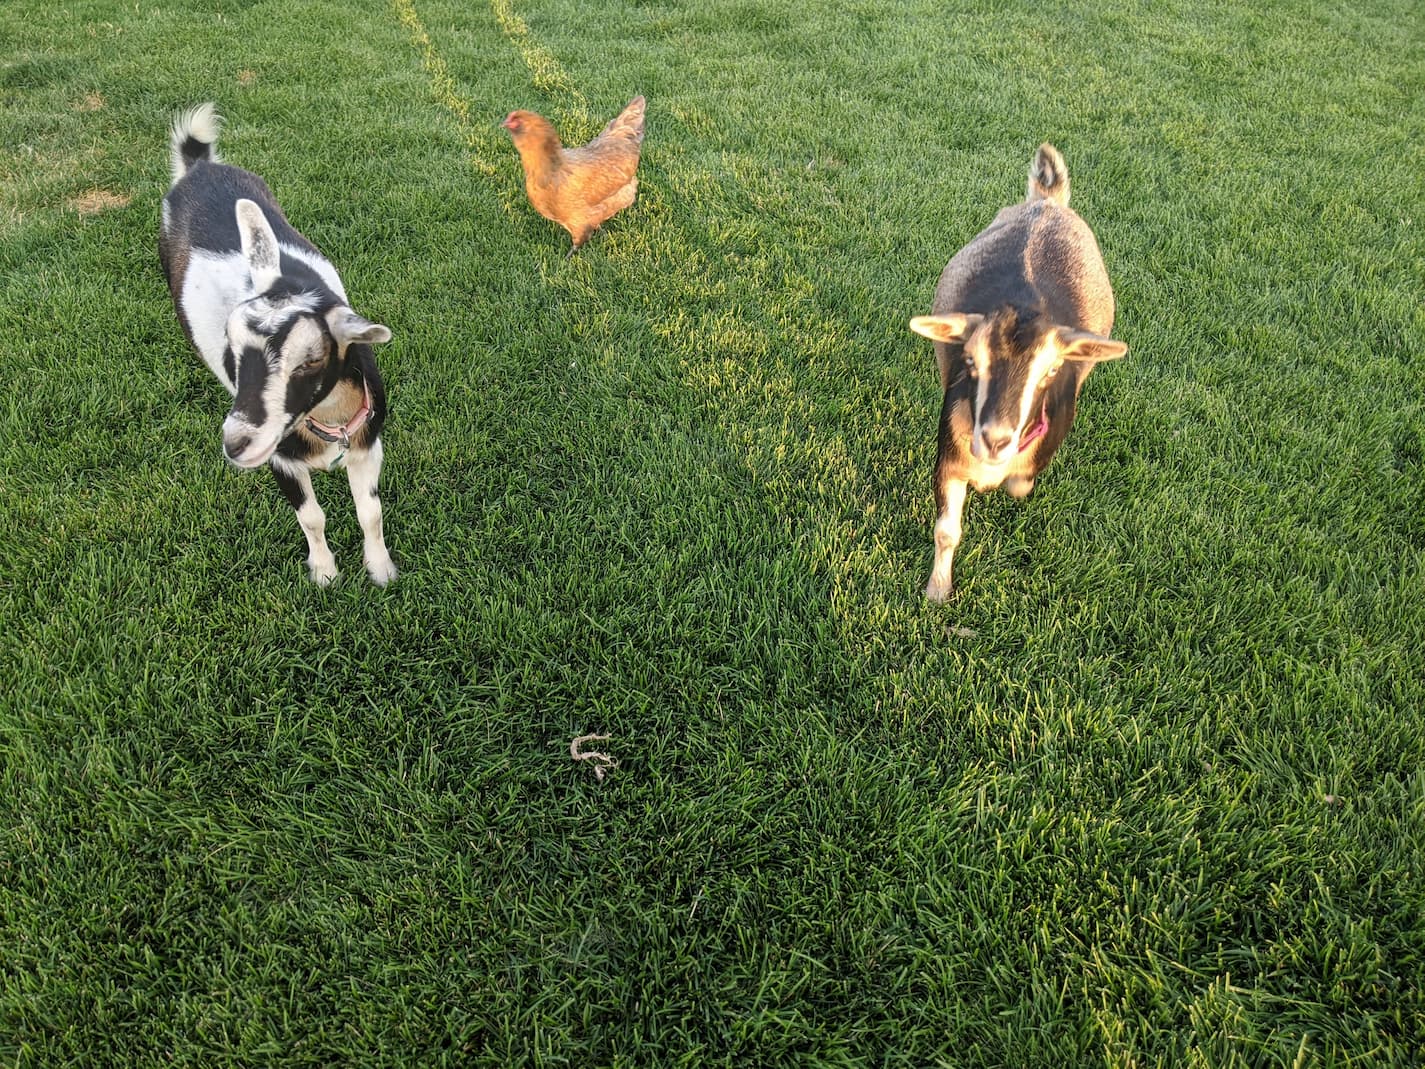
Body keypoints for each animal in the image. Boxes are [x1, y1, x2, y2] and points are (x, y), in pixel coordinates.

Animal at [158, 104, 396, 585]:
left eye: (310, 361)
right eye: (230, 346)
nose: (235, 445)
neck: (329, 422)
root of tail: (199, 167)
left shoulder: (368, 444)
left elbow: (371, 513)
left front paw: (380, 571)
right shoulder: (280, 460)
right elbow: (312, 518)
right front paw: (325, 575)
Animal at [910, 143, 1127, 601]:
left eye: (1052, 371)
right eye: (970, 361)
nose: (995, 439)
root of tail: (1047, 201)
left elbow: (1020, 484)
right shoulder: (948, 458)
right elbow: (946, 531)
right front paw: (938, 591)